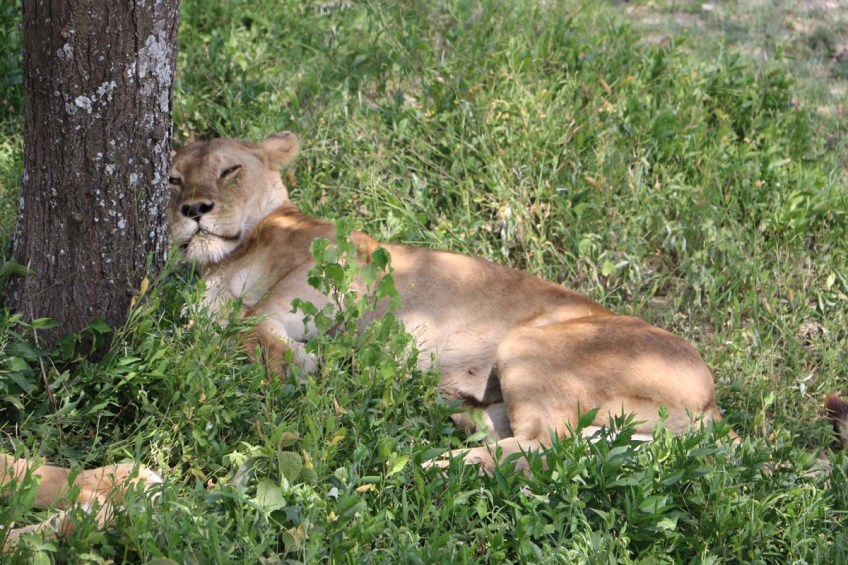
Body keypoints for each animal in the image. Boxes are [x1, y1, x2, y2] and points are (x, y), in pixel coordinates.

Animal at [168, 131, 729, 470]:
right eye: (173, 178)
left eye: (230, 170)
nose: (192, 210)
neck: (229, 259)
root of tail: (712, 399)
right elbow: (222, 329)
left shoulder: (339, 278)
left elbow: (249, 324)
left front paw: (305, 371)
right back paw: (460, 420)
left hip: (532, 345)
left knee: (545, 448)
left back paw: (430, 466)